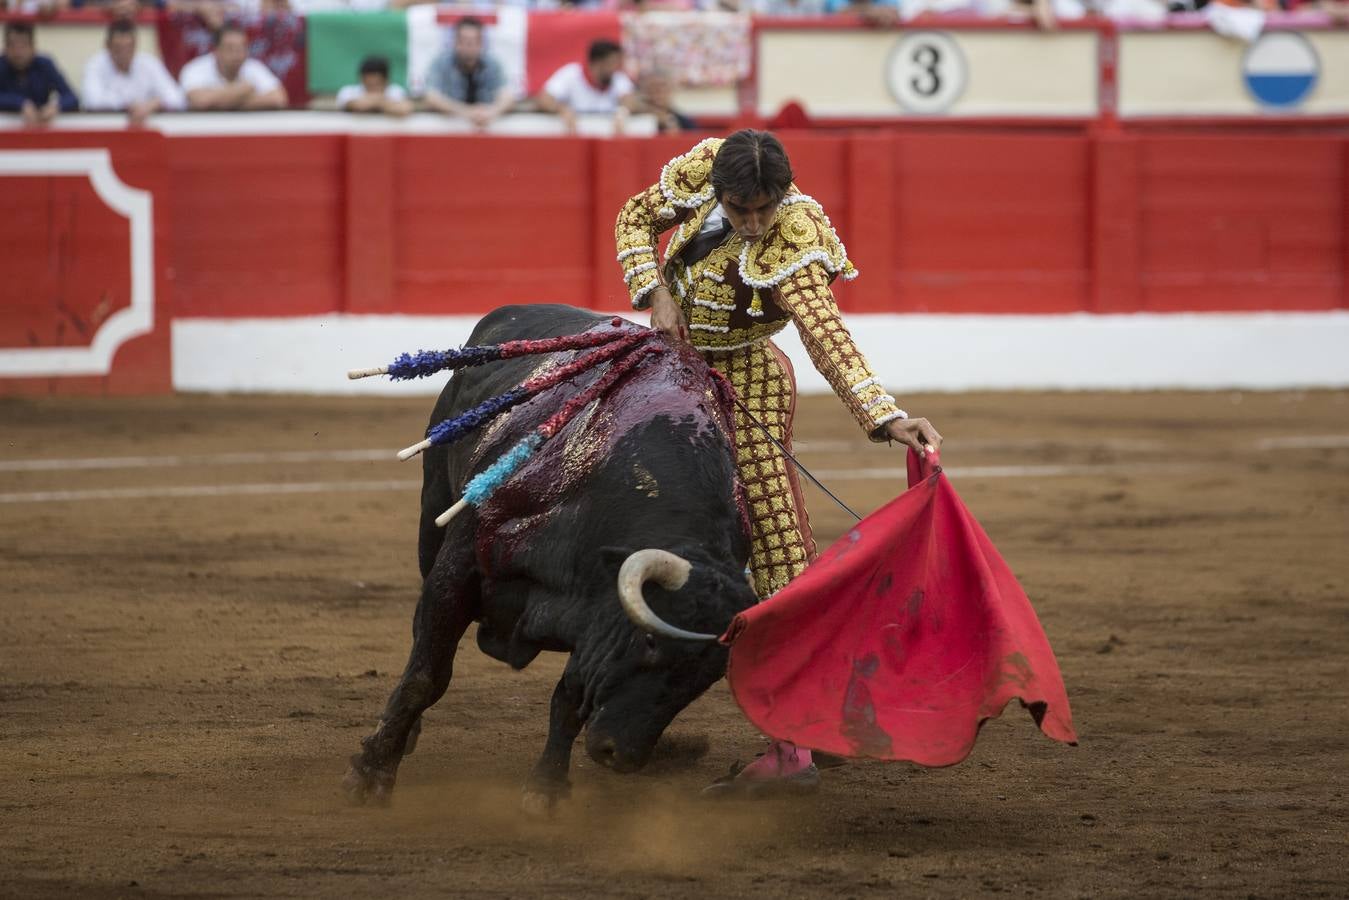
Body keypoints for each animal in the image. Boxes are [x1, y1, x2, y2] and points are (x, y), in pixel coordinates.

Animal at [339, 304, 760, 814]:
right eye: (649, 642)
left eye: (706, 678)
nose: (622, 755)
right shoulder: (459, 570)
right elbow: (427, 674)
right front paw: (371, 774)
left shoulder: (595, 616)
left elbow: (570, 697)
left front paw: (546, 789)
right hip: (431, 511)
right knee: (419, 639)